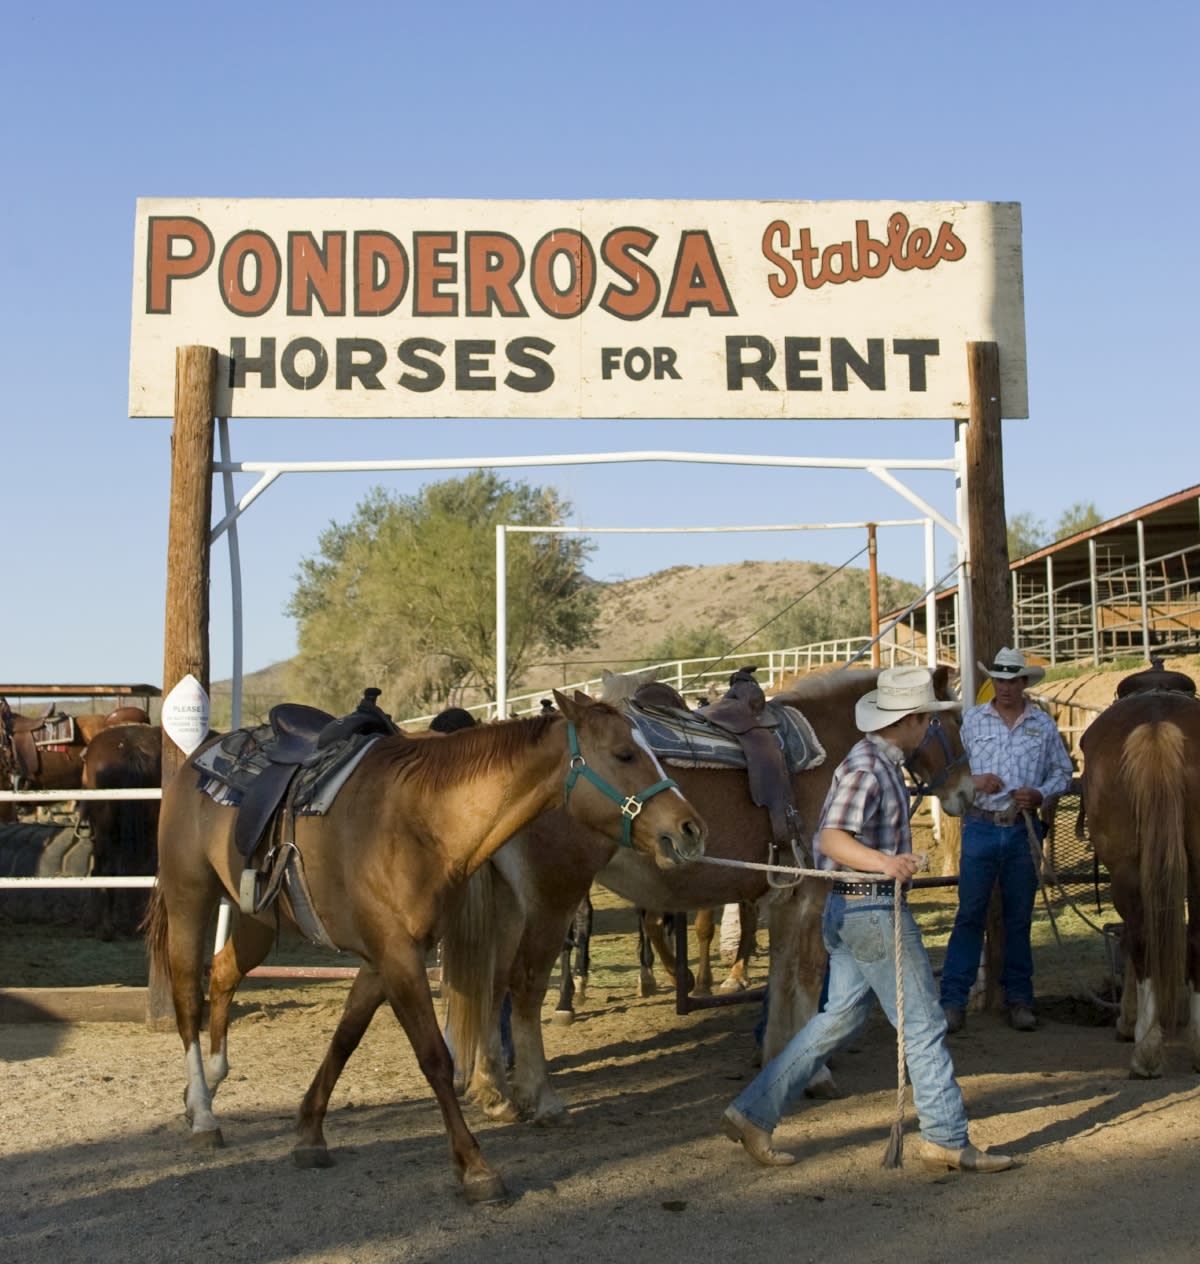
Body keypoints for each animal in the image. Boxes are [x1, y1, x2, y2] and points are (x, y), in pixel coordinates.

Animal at [142, 692, 703, 1203]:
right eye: (624, 754)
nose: (691, 829)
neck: (421, 822)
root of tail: (202, 751)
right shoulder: (397, 957)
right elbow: (434, 1057)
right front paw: (475, 1167)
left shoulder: (381, 961)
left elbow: (344, 1039)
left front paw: (309, 1132)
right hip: (191, 896)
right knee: (188, 997)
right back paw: (204, 1117)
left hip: (256, 917)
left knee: (223, 973)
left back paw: (207, 1086)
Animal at [440, 667, 976, 1122]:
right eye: (954, 721)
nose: (969, 791)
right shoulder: (812, 897)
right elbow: (805, 982)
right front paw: (815, 1074)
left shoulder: (784, 899)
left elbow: (779, 980)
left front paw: (776, 1058)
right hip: (553, 898)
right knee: (524, 985)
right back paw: (540, 1093)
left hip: (509, 907)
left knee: (489, 986)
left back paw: (494, 1092)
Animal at [1077, 687, 1198, 1081]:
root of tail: (1156, 725)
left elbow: (1129, 941)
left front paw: (1128, 1021)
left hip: (1125, 870)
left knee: (1141, 939)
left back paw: (1146, 1052)